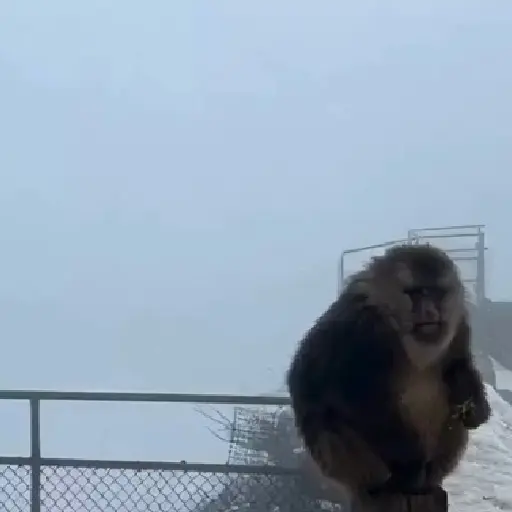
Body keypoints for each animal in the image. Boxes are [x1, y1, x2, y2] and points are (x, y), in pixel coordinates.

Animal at [286, 244, 490, 505]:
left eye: (435, 293)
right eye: (415, 293)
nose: (429, 310)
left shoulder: (459, 323)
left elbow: (456, 367)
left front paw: (475, 407)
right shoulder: (364, 329)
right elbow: (358, 395)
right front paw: (409, 464)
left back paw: (427, 482)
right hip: (345, 463)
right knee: (332, 422)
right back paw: (395, 481)